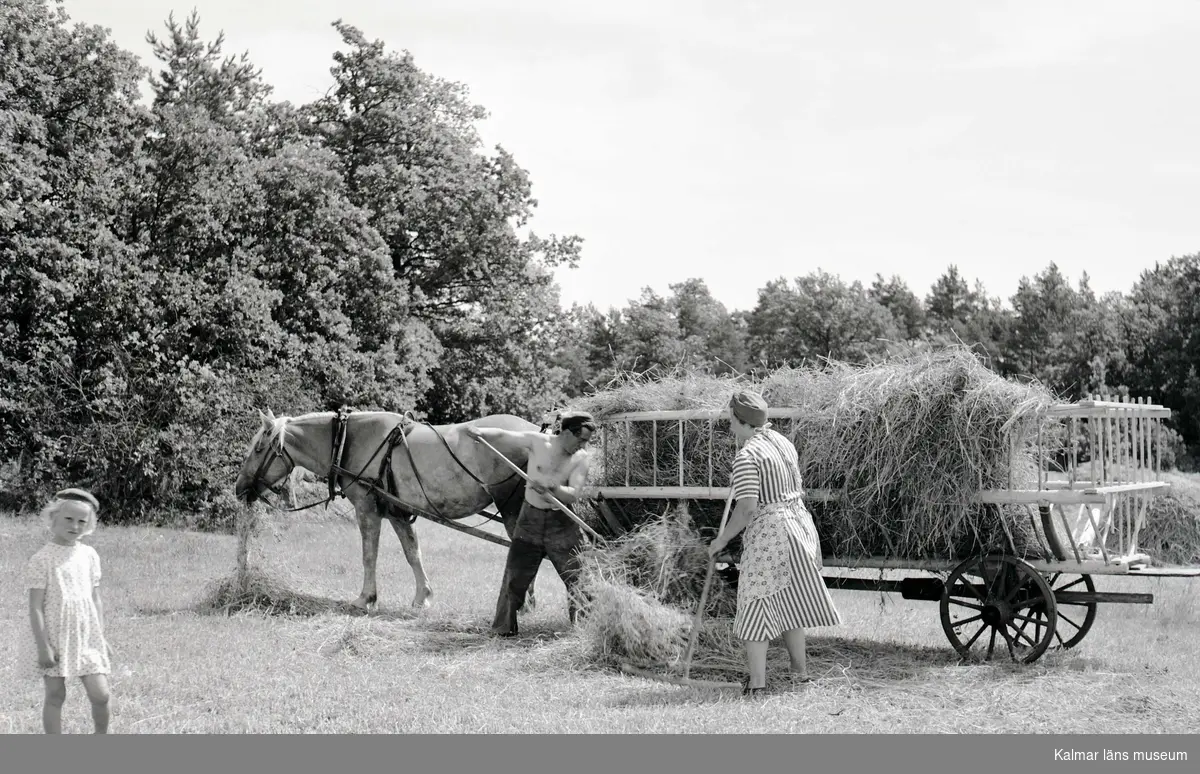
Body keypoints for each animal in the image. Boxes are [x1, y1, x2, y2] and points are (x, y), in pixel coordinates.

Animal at [231, 408, 542, 612]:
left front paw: (366, 598)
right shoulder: (398, 513)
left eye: (258, 449)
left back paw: (521, 603)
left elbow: (369, 555)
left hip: (511, 508)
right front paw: (423, 596)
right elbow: (413, 553)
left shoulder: (366, 508)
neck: (348, 441)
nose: (239, 489)